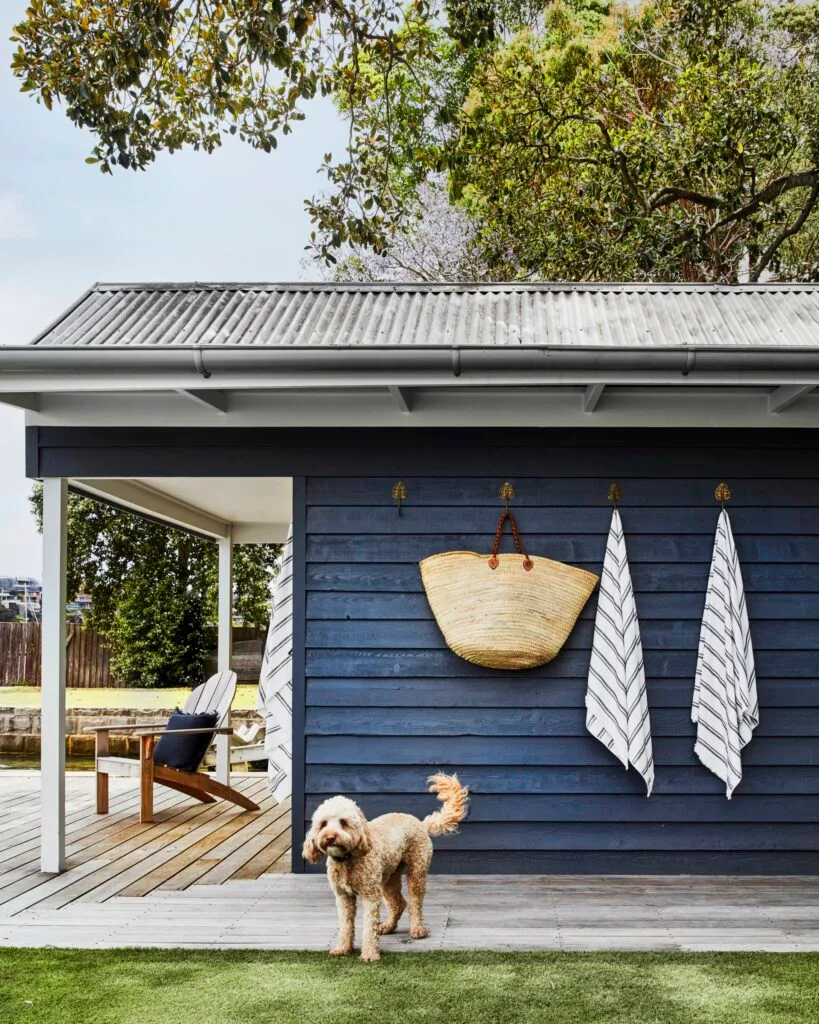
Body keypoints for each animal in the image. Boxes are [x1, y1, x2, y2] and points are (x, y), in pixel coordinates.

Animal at [303, 774, 470, 958]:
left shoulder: (370, 896)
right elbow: (346, 925)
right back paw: (387, 926)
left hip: (417, 871)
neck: (348, 860)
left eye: (344, 822)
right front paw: (343, 948)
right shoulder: (343, 897)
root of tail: (421, 823)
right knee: (398, 903)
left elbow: (369, 927)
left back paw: (417, 929)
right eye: (323, 824)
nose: (330, 837)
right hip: (388, 878)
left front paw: (369, 954)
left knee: (415, 903)